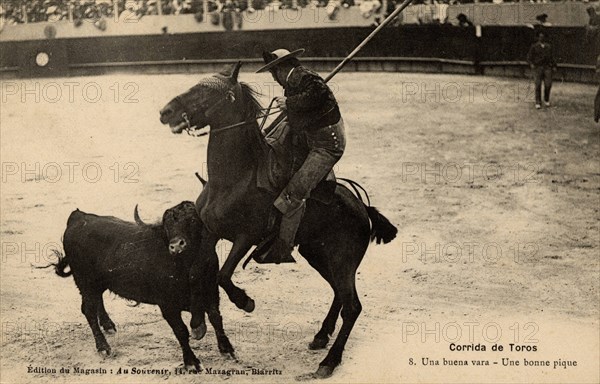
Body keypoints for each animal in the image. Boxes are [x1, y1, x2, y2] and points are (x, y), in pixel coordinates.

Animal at [158, 62, 398, 378]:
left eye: (206, 91)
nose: (166, 111)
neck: (234, 177)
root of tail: (362, 208)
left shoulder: (246, 237)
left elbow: (223, 275)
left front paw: (245, 302)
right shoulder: (210, 232)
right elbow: (198, 273)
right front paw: (197, 324)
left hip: (343, 258)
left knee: (352, 307)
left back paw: (329, 361)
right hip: (317, 254)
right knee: (339, 293)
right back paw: (320, 336)